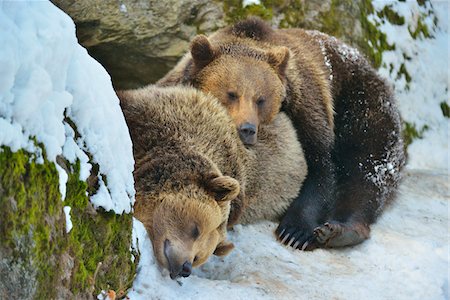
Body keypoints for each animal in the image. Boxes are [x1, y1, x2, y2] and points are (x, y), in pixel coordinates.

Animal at [156, 17, 406, 251]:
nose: (247, 129)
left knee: (368, 165)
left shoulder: (307, 106)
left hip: (360, 104)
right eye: (231, 94)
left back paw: (340, 230)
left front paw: (294, 232)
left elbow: (321, 167)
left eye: (261, 99)